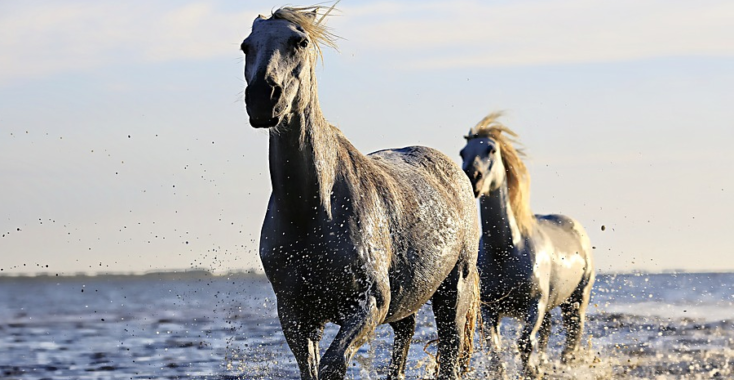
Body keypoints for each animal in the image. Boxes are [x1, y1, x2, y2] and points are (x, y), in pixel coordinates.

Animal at [460, 111, 600, 378]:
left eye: (491, 150)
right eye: (463, 152)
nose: (472, 177)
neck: (506, 251)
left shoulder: (534, 305)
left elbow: (525, 344)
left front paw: (532, 371)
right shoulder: (490, 309)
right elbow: (495, 352)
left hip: (576, 300)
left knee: (572, 336)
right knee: (546, 333)